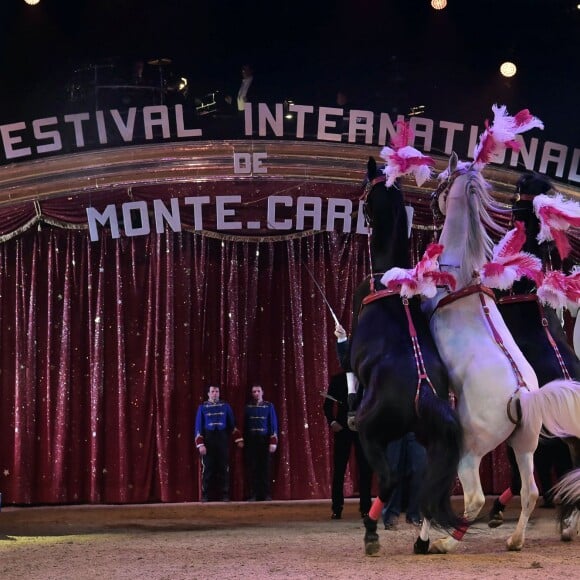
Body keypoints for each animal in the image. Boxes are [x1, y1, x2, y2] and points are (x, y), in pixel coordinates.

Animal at [348, 156, 462, 556]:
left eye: (364, 193)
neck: (390, 281)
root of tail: (423, 390)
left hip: (374, 434)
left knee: (390, 480)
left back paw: (370, 533)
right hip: (433, 441)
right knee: (428, 487)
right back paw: (423, 541)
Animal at [420, 156, 580, 556]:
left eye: (443, 182)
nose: (430, 199)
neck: (463, 273)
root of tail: (522, 394)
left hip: (470, 450)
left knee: (475, 497)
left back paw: (444, 541)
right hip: (524, 446)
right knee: (532, 491)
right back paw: (515, 539)